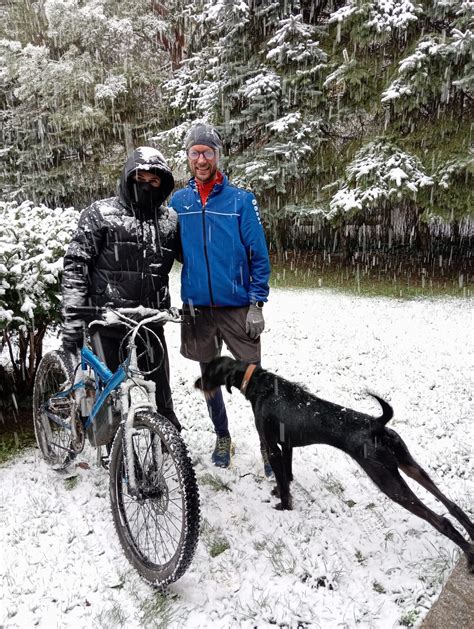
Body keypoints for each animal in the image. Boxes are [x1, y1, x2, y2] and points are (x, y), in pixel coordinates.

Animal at [194, 358, 472, 568]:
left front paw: (283, 507)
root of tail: (376, 424)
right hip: (407, 464)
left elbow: (283, 483)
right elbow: (287, 474)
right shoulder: (287, 446)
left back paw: (469, 554)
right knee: (451, 504)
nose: (197, 383)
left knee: (441, 520)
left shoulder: (271, 446)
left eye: (207, 371)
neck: (259, 384)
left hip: (388, 481)